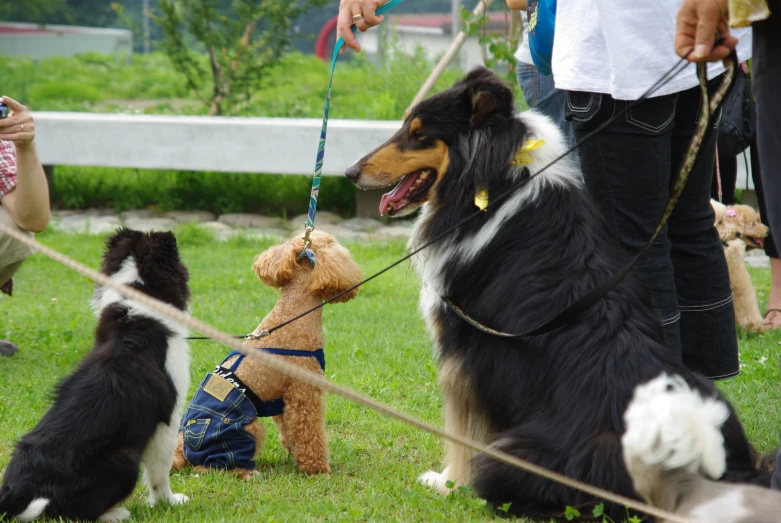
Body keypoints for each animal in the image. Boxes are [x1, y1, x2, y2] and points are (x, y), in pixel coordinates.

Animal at [0, 230, 191, 523]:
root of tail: (23, 493)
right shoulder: (167, 420)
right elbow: (160, 472)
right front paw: (169, 502)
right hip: (124, 456)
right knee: (78, 514)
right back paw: (116, 513)